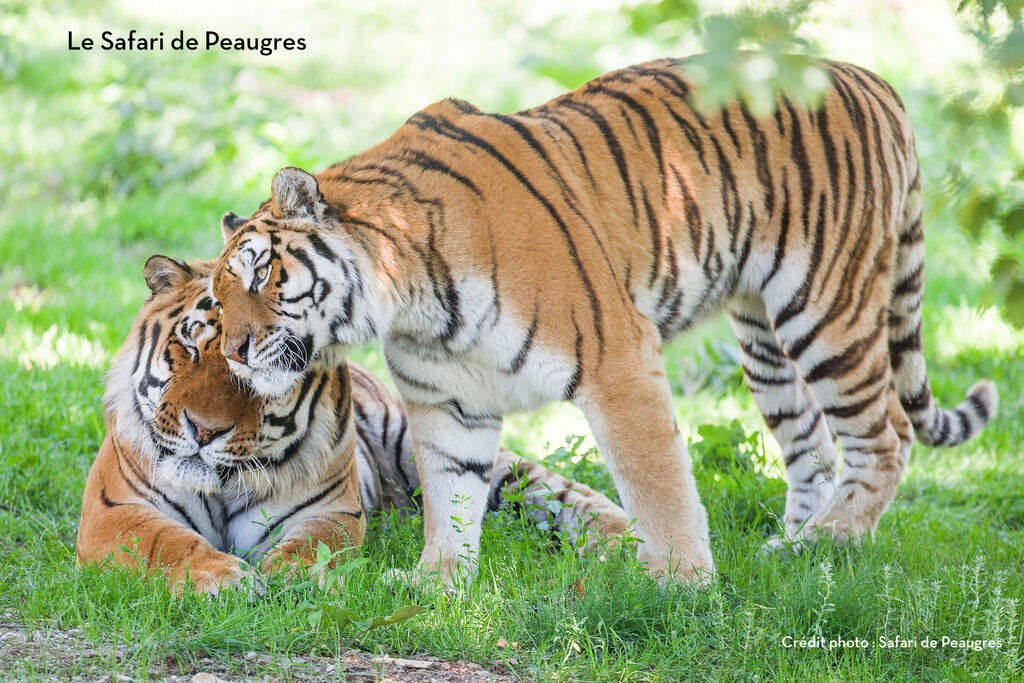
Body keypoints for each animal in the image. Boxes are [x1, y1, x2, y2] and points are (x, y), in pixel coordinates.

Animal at [74, 253, 630, 593]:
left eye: (266, 368)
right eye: (190, 345)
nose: (205, 431)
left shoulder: (330, 510)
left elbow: (312, 544)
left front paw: (292, 575)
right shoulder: (115, 511)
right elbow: (168, 543)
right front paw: (222, 577)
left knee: (567, 495)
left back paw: (628, 543)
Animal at [207, 57, 999, 589]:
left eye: (262, 275)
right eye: (215, 301)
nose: (237, 353)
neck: (407, 300)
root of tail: (873, 79)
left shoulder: (618, 359)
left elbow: (657, 483)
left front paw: (683, 583)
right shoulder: (447, 402)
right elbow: (451, 500)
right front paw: (439, 586)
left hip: (826, 307)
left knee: (885, 434)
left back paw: (830, 543)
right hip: (765, 338)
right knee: (813, 446)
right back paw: (790, 548)